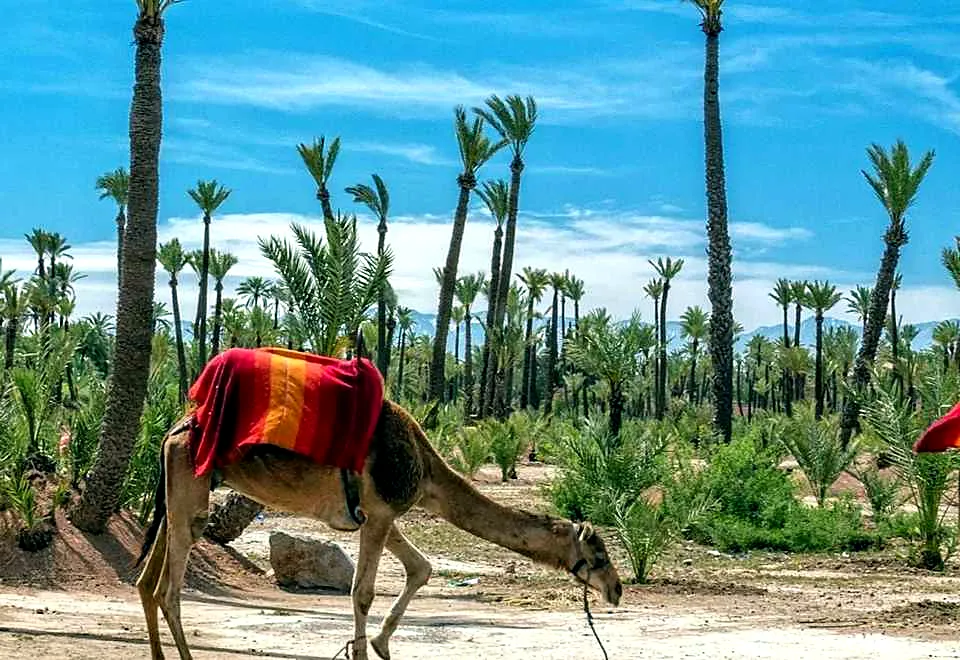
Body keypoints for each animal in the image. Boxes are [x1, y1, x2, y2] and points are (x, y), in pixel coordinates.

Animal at [136, 399, 623, 660]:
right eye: (599, 555)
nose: (617, 590)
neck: (426, 470)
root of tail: (173, 429)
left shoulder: (378, 515)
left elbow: (421, 568)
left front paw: (380, 643)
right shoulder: (382, 511)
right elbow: (363, 592)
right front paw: (364, 648)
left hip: (178, 492)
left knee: (146, 580)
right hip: (190, 487)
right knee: (168, 589)